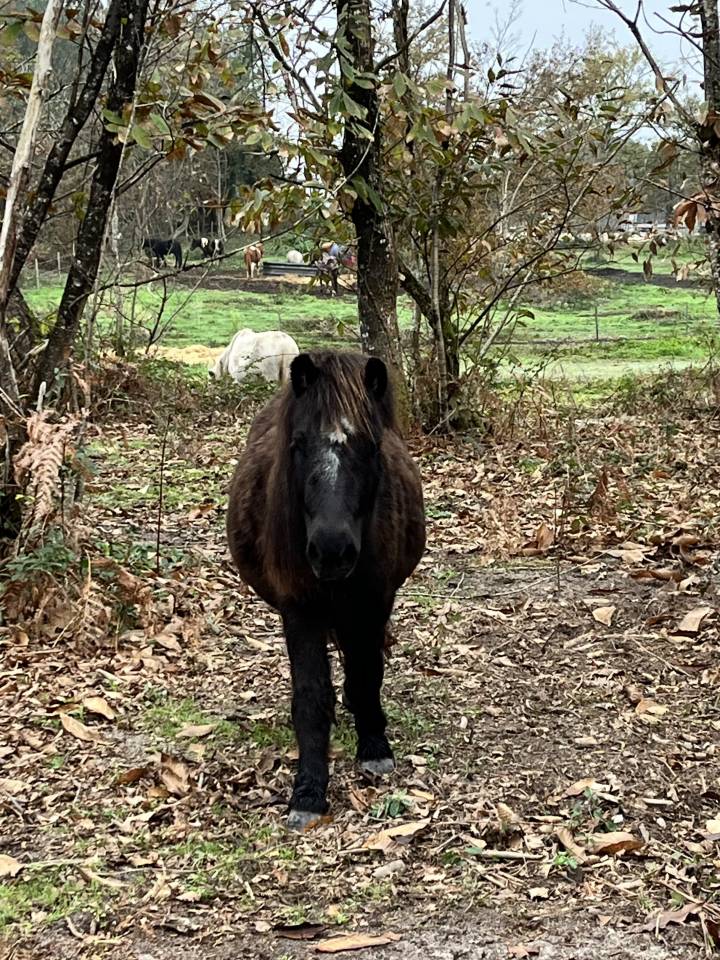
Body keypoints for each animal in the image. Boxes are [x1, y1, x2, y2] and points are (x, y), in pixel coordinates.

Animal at [226, 352, 426, 829]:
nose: (331, 550)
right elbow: (312, 697)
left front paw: (374, 746)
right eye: (298, 444)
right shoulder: (300, 609)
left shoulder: (374, 602)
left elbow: (367, 672)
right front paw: (309, 791)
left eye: (370, 446)